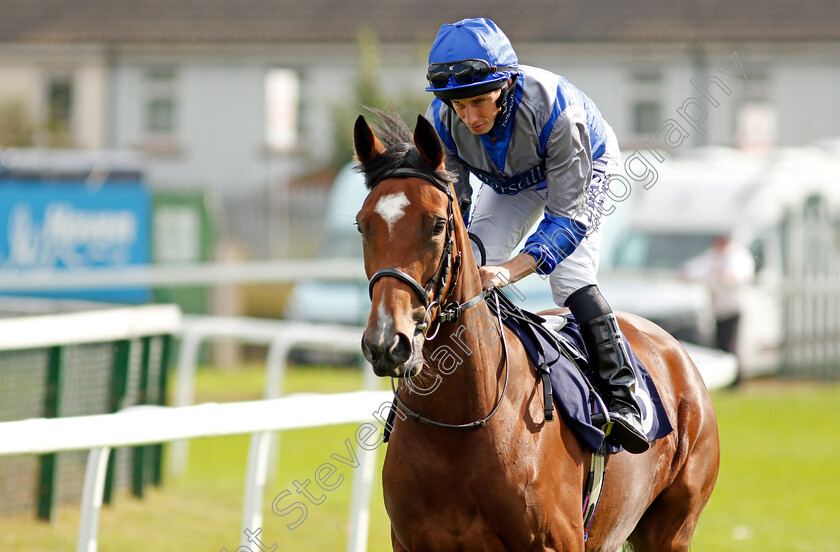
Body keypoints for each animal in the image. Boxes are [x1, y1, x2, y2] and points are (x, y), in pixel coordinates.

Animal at [352, 113, 720, 552]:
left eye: (437, 225)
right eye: (362, 225)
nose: (387, 342)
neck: (458, 425)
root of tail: (677, 353)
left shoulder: (559, 542)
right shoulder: (411, 542)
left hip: (672, 530)